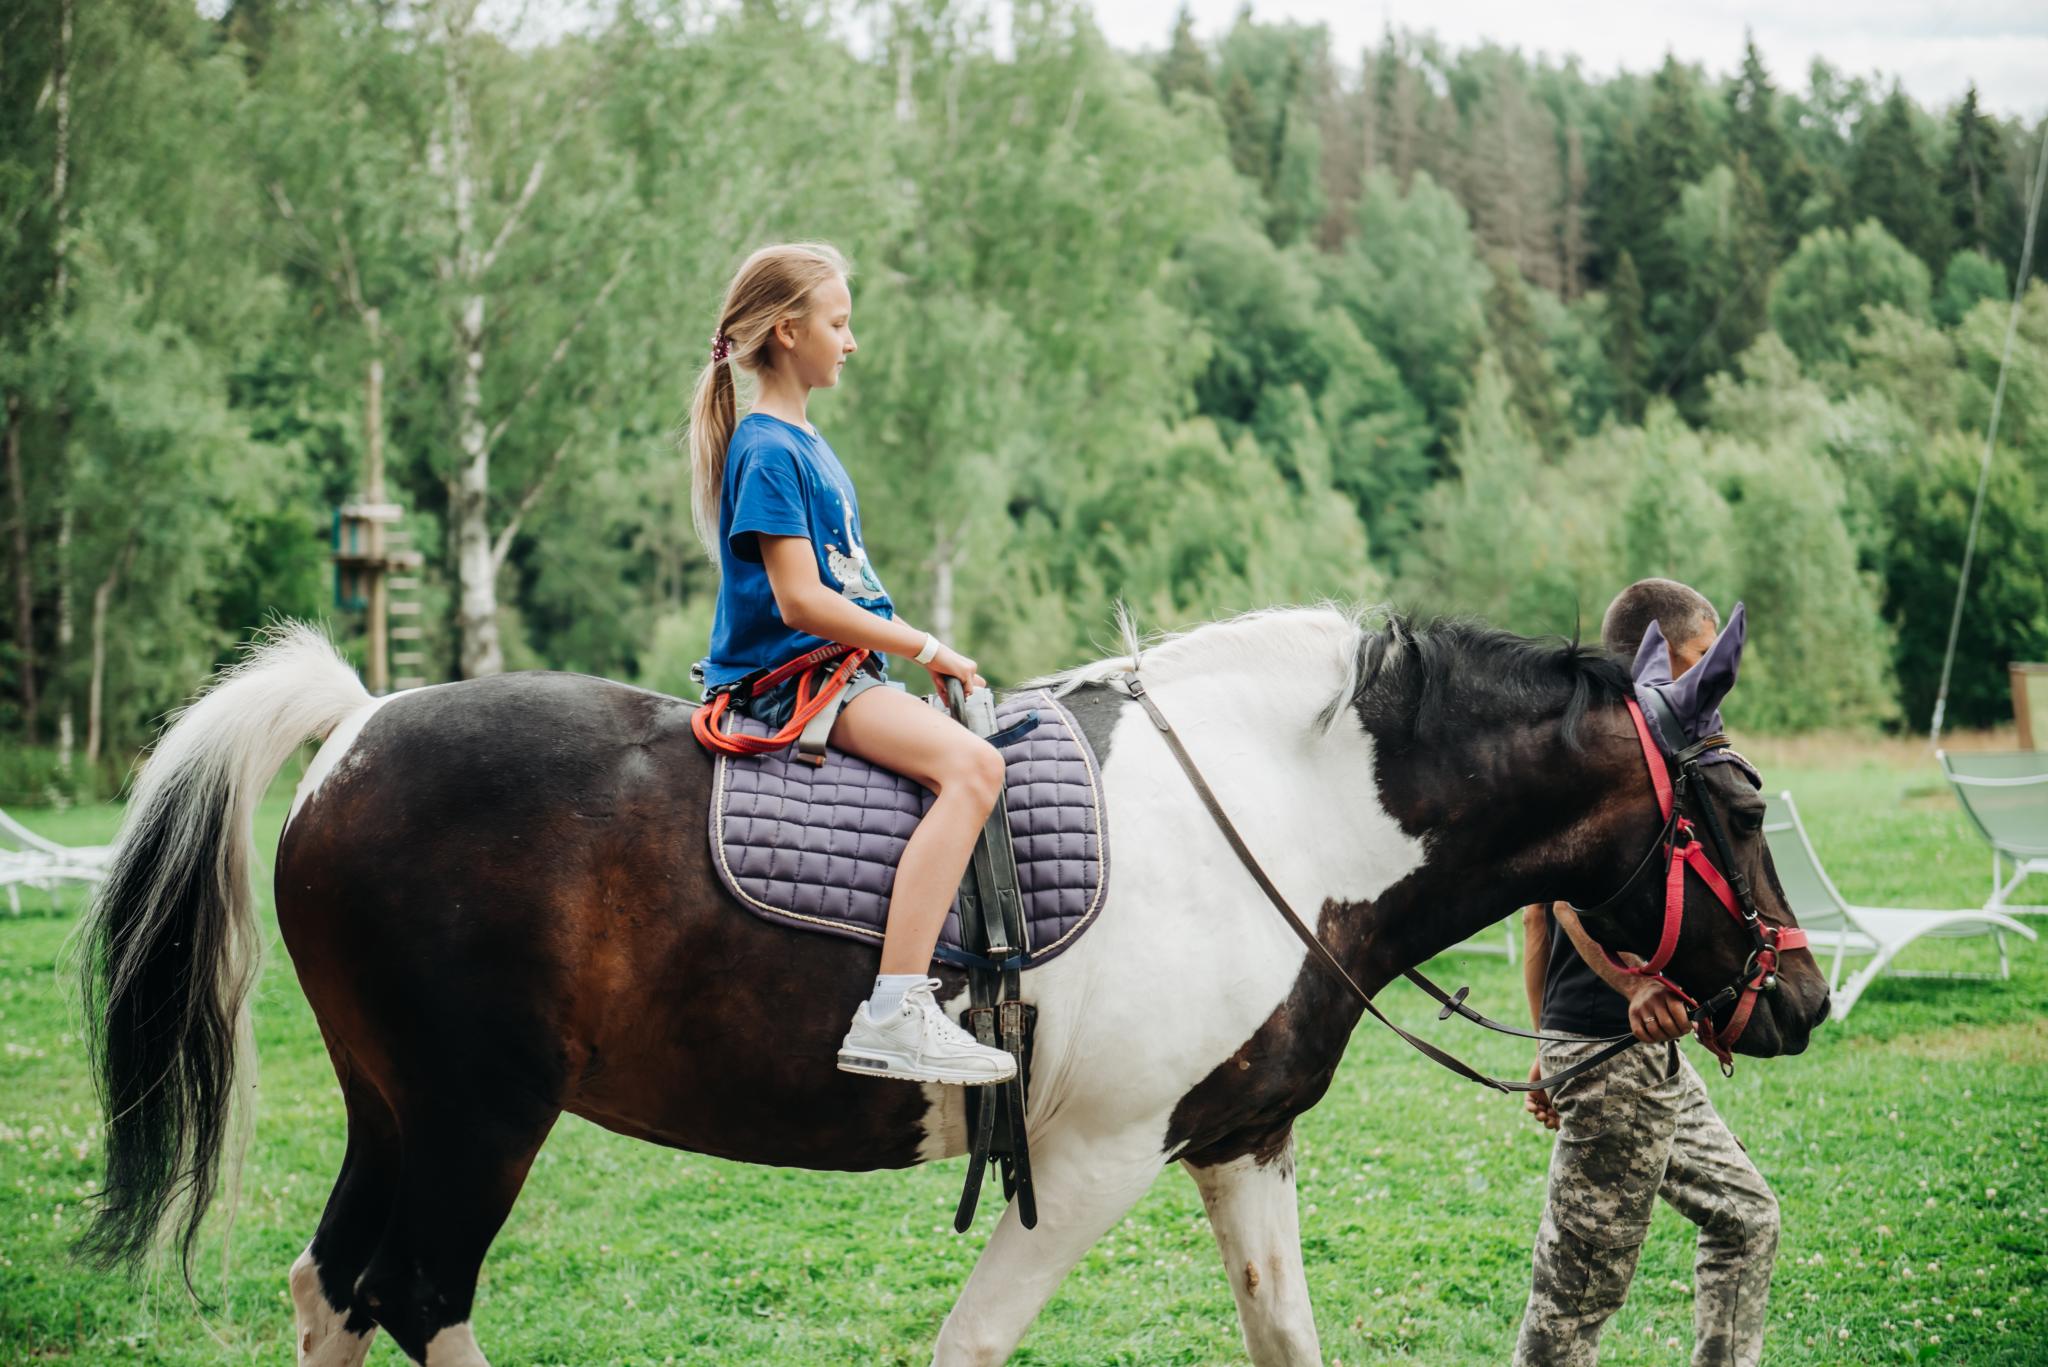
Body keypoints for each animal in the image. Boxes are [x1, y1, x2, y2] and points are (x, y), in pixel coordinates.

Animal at [75, 610, 1826, 1367]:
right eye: (1740, 804)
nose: (1802, 1003)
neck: (1280, 813)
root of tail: (356, 727)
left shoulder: (1241, 1145)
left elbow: (1286, 1335)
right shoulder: (1092, 1165)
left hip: (397, 1110)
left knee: (337, 1286)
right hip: (475, 1117)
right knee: (421, 1294)